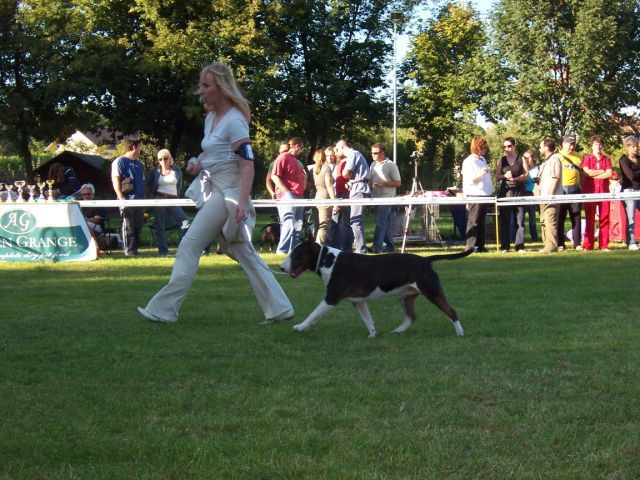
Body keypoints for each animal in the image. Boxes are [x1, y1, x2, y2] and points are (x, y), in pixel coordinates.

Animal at [282, 240, 476, 338]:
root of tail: (426, 260)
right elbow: (368, 319)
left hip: (432, 291)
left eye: (297, 255)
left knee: (451, 311)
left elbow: (313, 314)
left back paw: (460, 332)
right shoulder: (358, 301)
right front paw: (373, 334)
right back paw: (398, 330)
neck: (327, 260)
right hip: (406, 296)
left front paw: (300, 327)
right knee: (411, 316)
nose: (282, 268)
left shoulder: (331, 298)